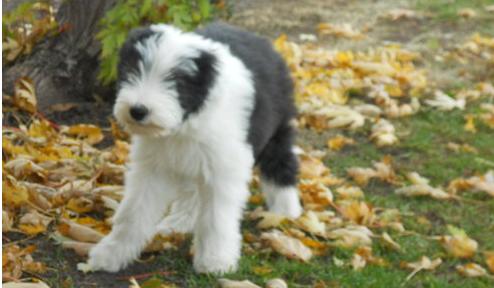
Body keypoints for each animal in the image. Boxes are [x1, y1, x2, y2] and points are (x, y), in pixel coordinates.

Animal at [87, 22, 302, 274]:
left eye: (176, 81)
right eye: (132, 70)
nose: (137, 110)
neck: (183, 124)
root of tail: (265, 43)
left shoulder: (223, 169)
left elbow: (216, 218)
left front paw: (215, 262)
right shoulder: (152, 167)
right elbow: (134, 211)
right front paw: (110, 254)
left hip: (276, 130)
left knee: (282, 163)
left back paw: (286, 211)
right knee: (193, 189)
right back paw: (181, 221)